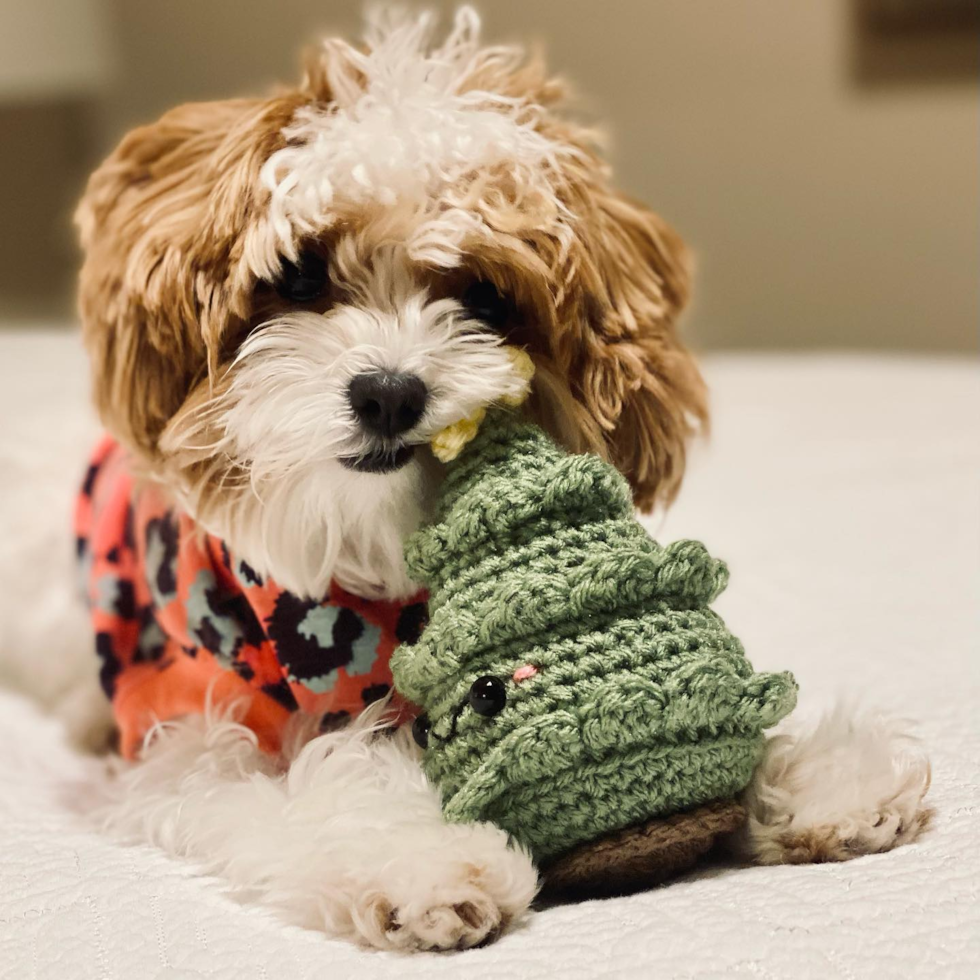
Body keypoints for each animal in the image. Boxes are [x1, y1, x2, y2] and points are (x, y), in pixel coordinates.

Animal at [67, 9, 928, 948]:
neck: (362, 575)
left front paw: (812, 773)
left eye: (482, 297)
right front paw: (422, 858)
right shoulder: (184, 728)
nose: (390, 392)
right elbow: (296, 781)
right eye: (298, 274)